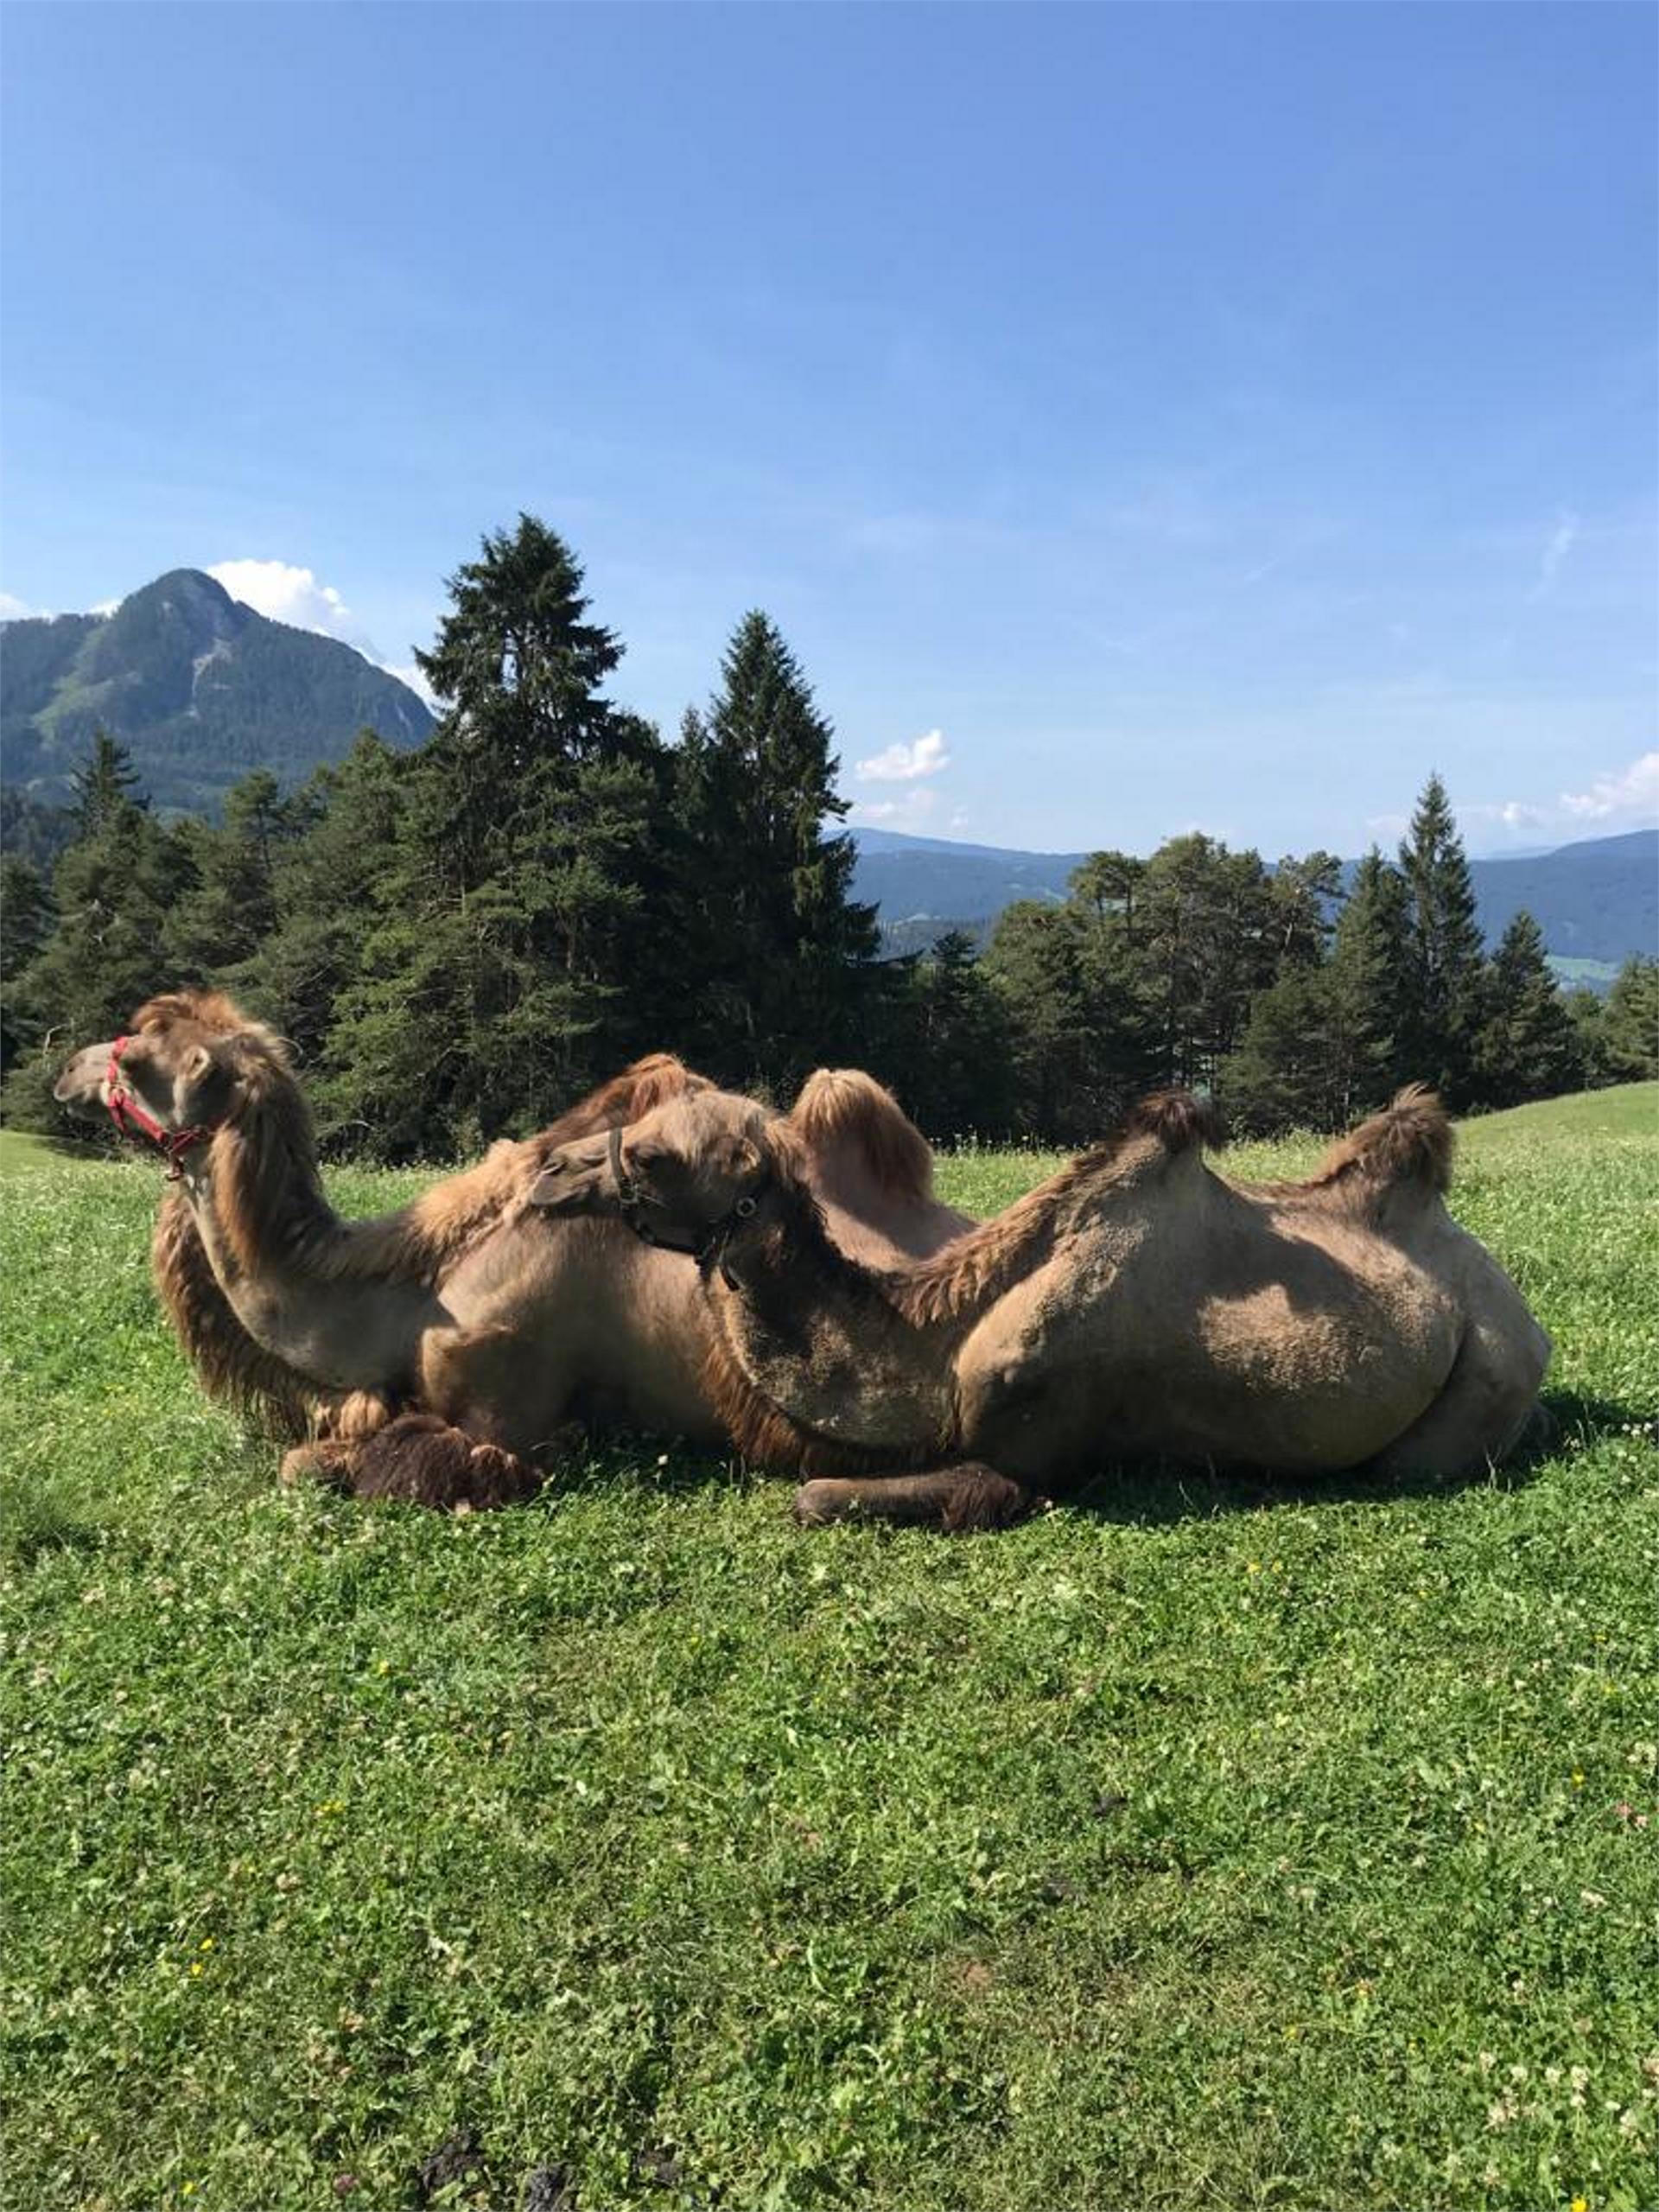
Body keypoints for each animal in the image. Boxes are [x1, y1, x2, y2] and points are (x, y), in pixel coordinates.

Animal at [535, 1079, 1557, 1530]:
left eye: (656, 1156)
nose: (545, 1171)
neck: (939, 1350)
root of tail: (1523, 1314)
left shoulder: (1030, 1452)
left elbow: (820, 1495)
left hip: (1484, 1379)